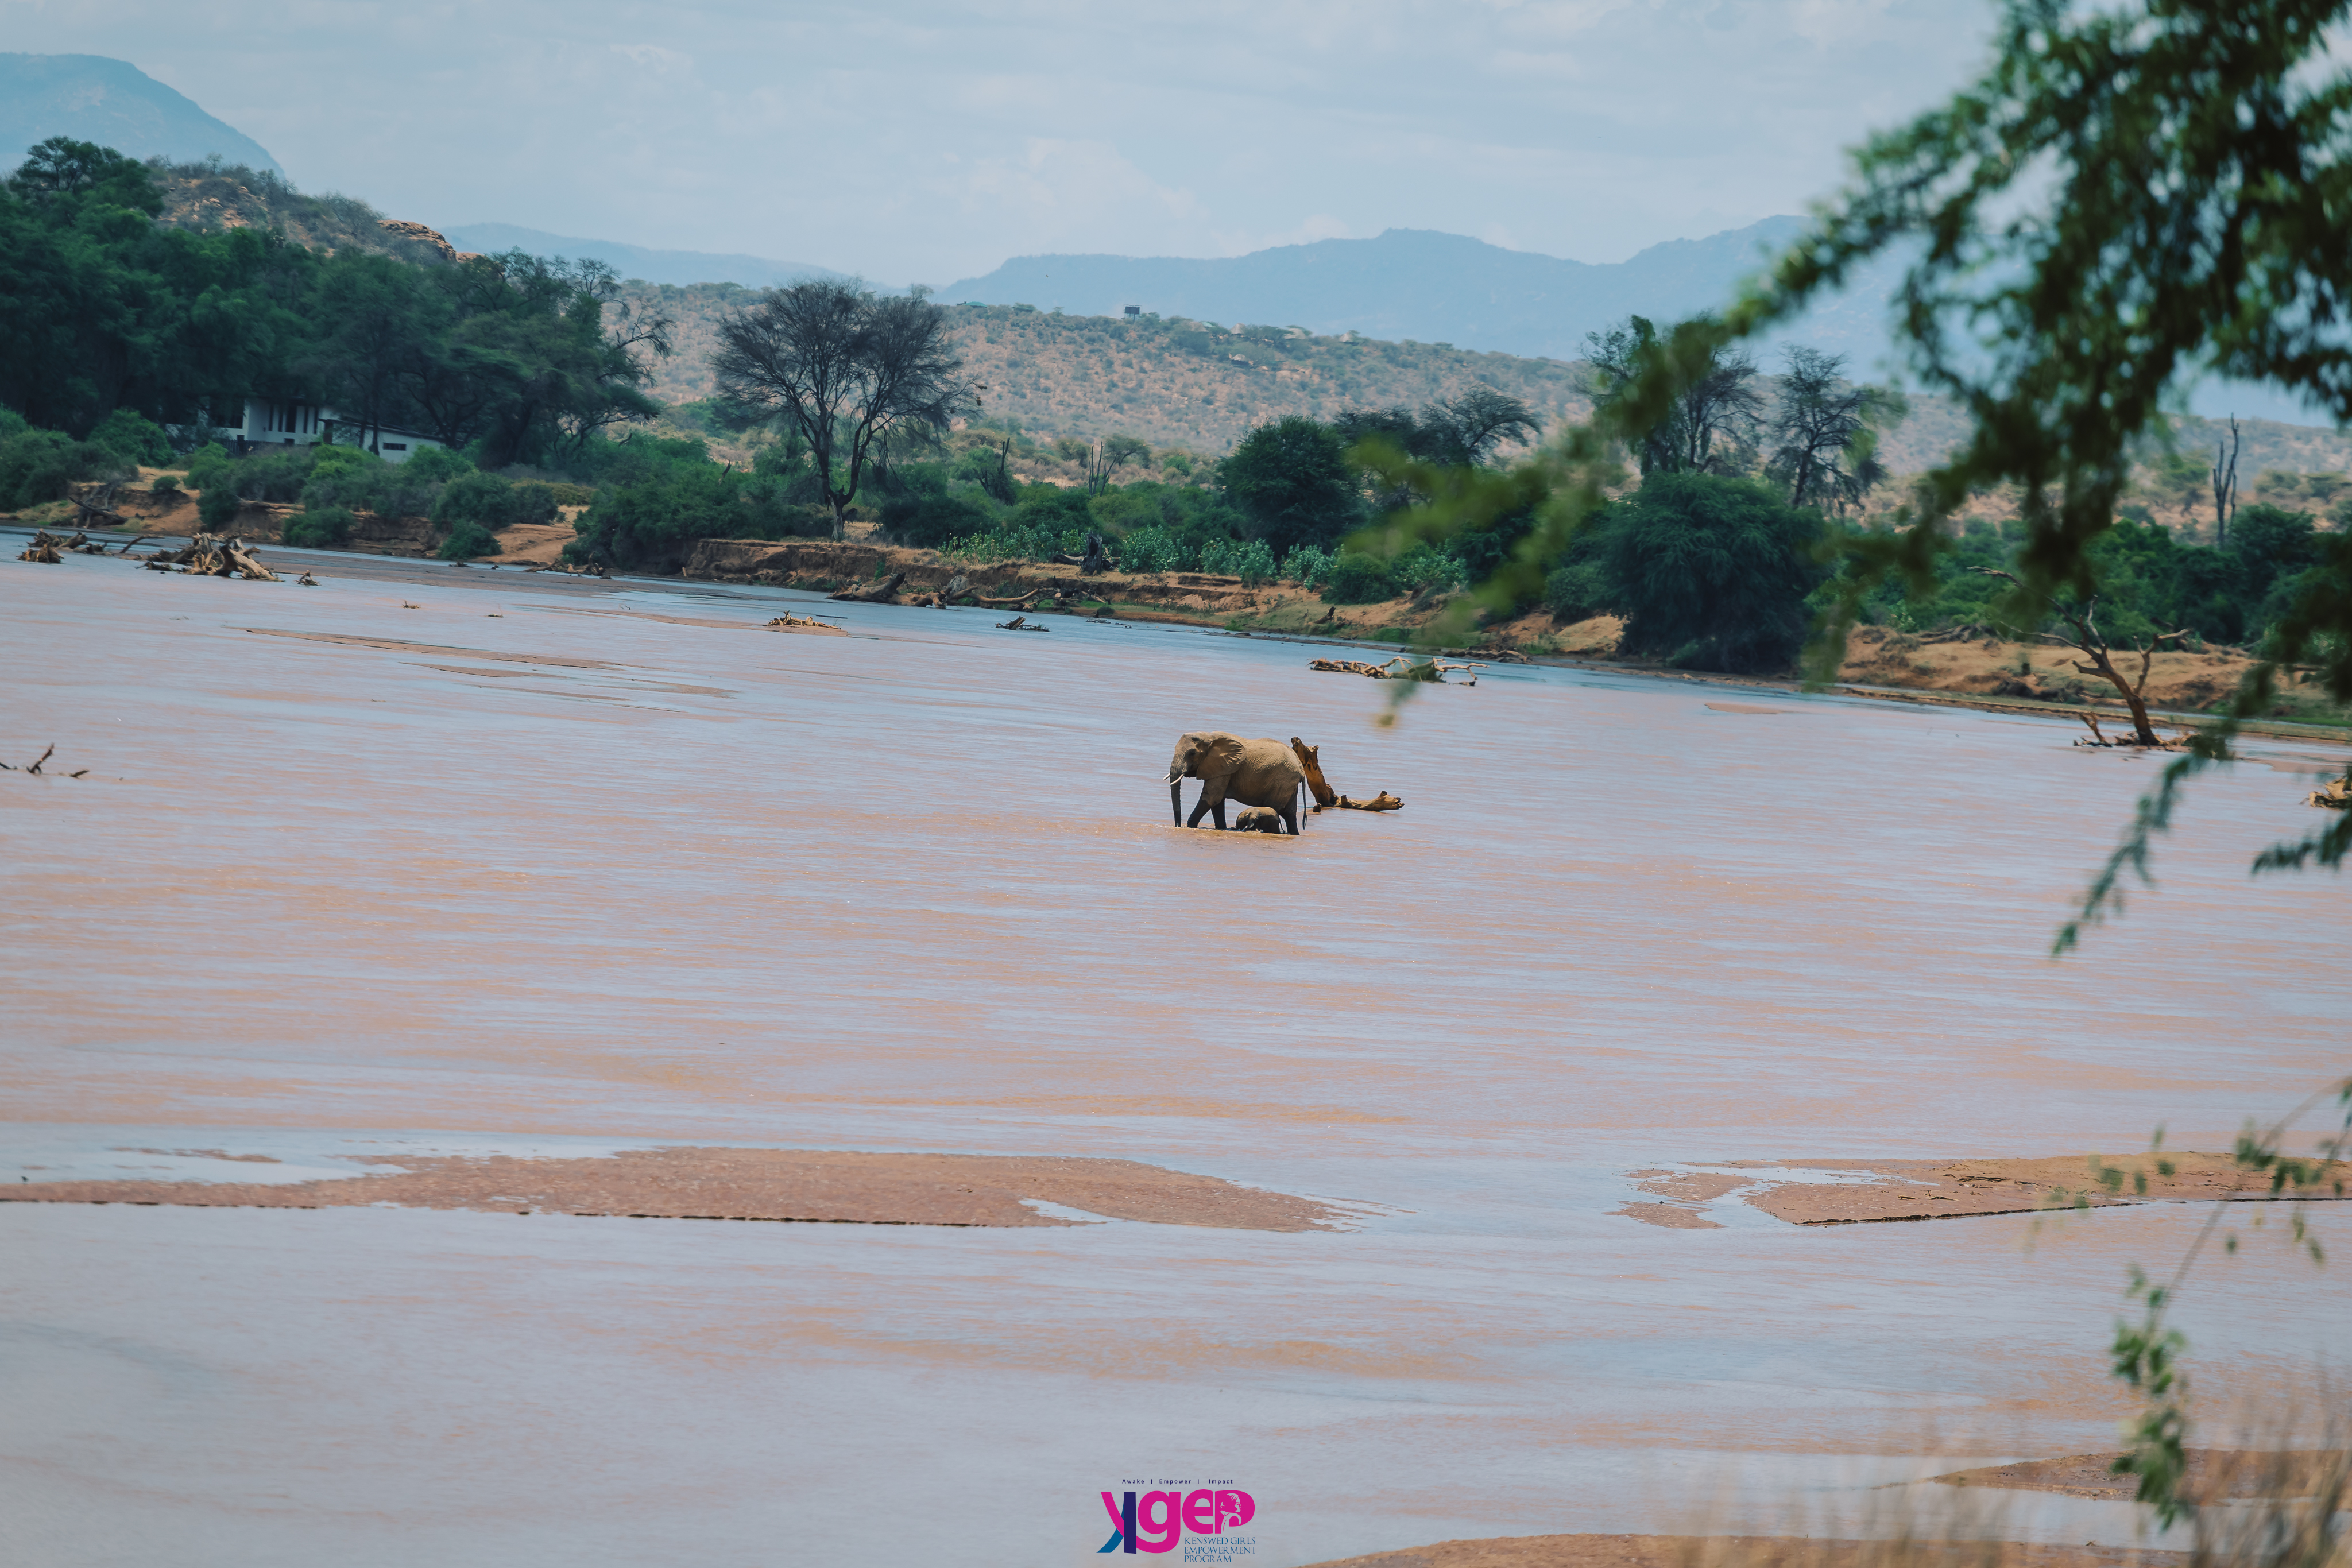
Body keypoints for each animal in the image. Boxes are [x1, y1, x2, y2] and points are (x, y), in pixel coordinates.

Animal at [1165, 731, 1306, 835]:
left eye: (1192, 753)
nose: (1178, 826)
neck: (1208, 736)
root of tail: (1301, 770)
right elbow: (1217, 802)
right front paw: (1221, 829)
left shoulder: (1226, 768)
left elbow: (1211, 798)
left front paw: (1190, 826)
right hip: (1288, 785)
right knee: (1290, 815)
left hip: (1282, 782)